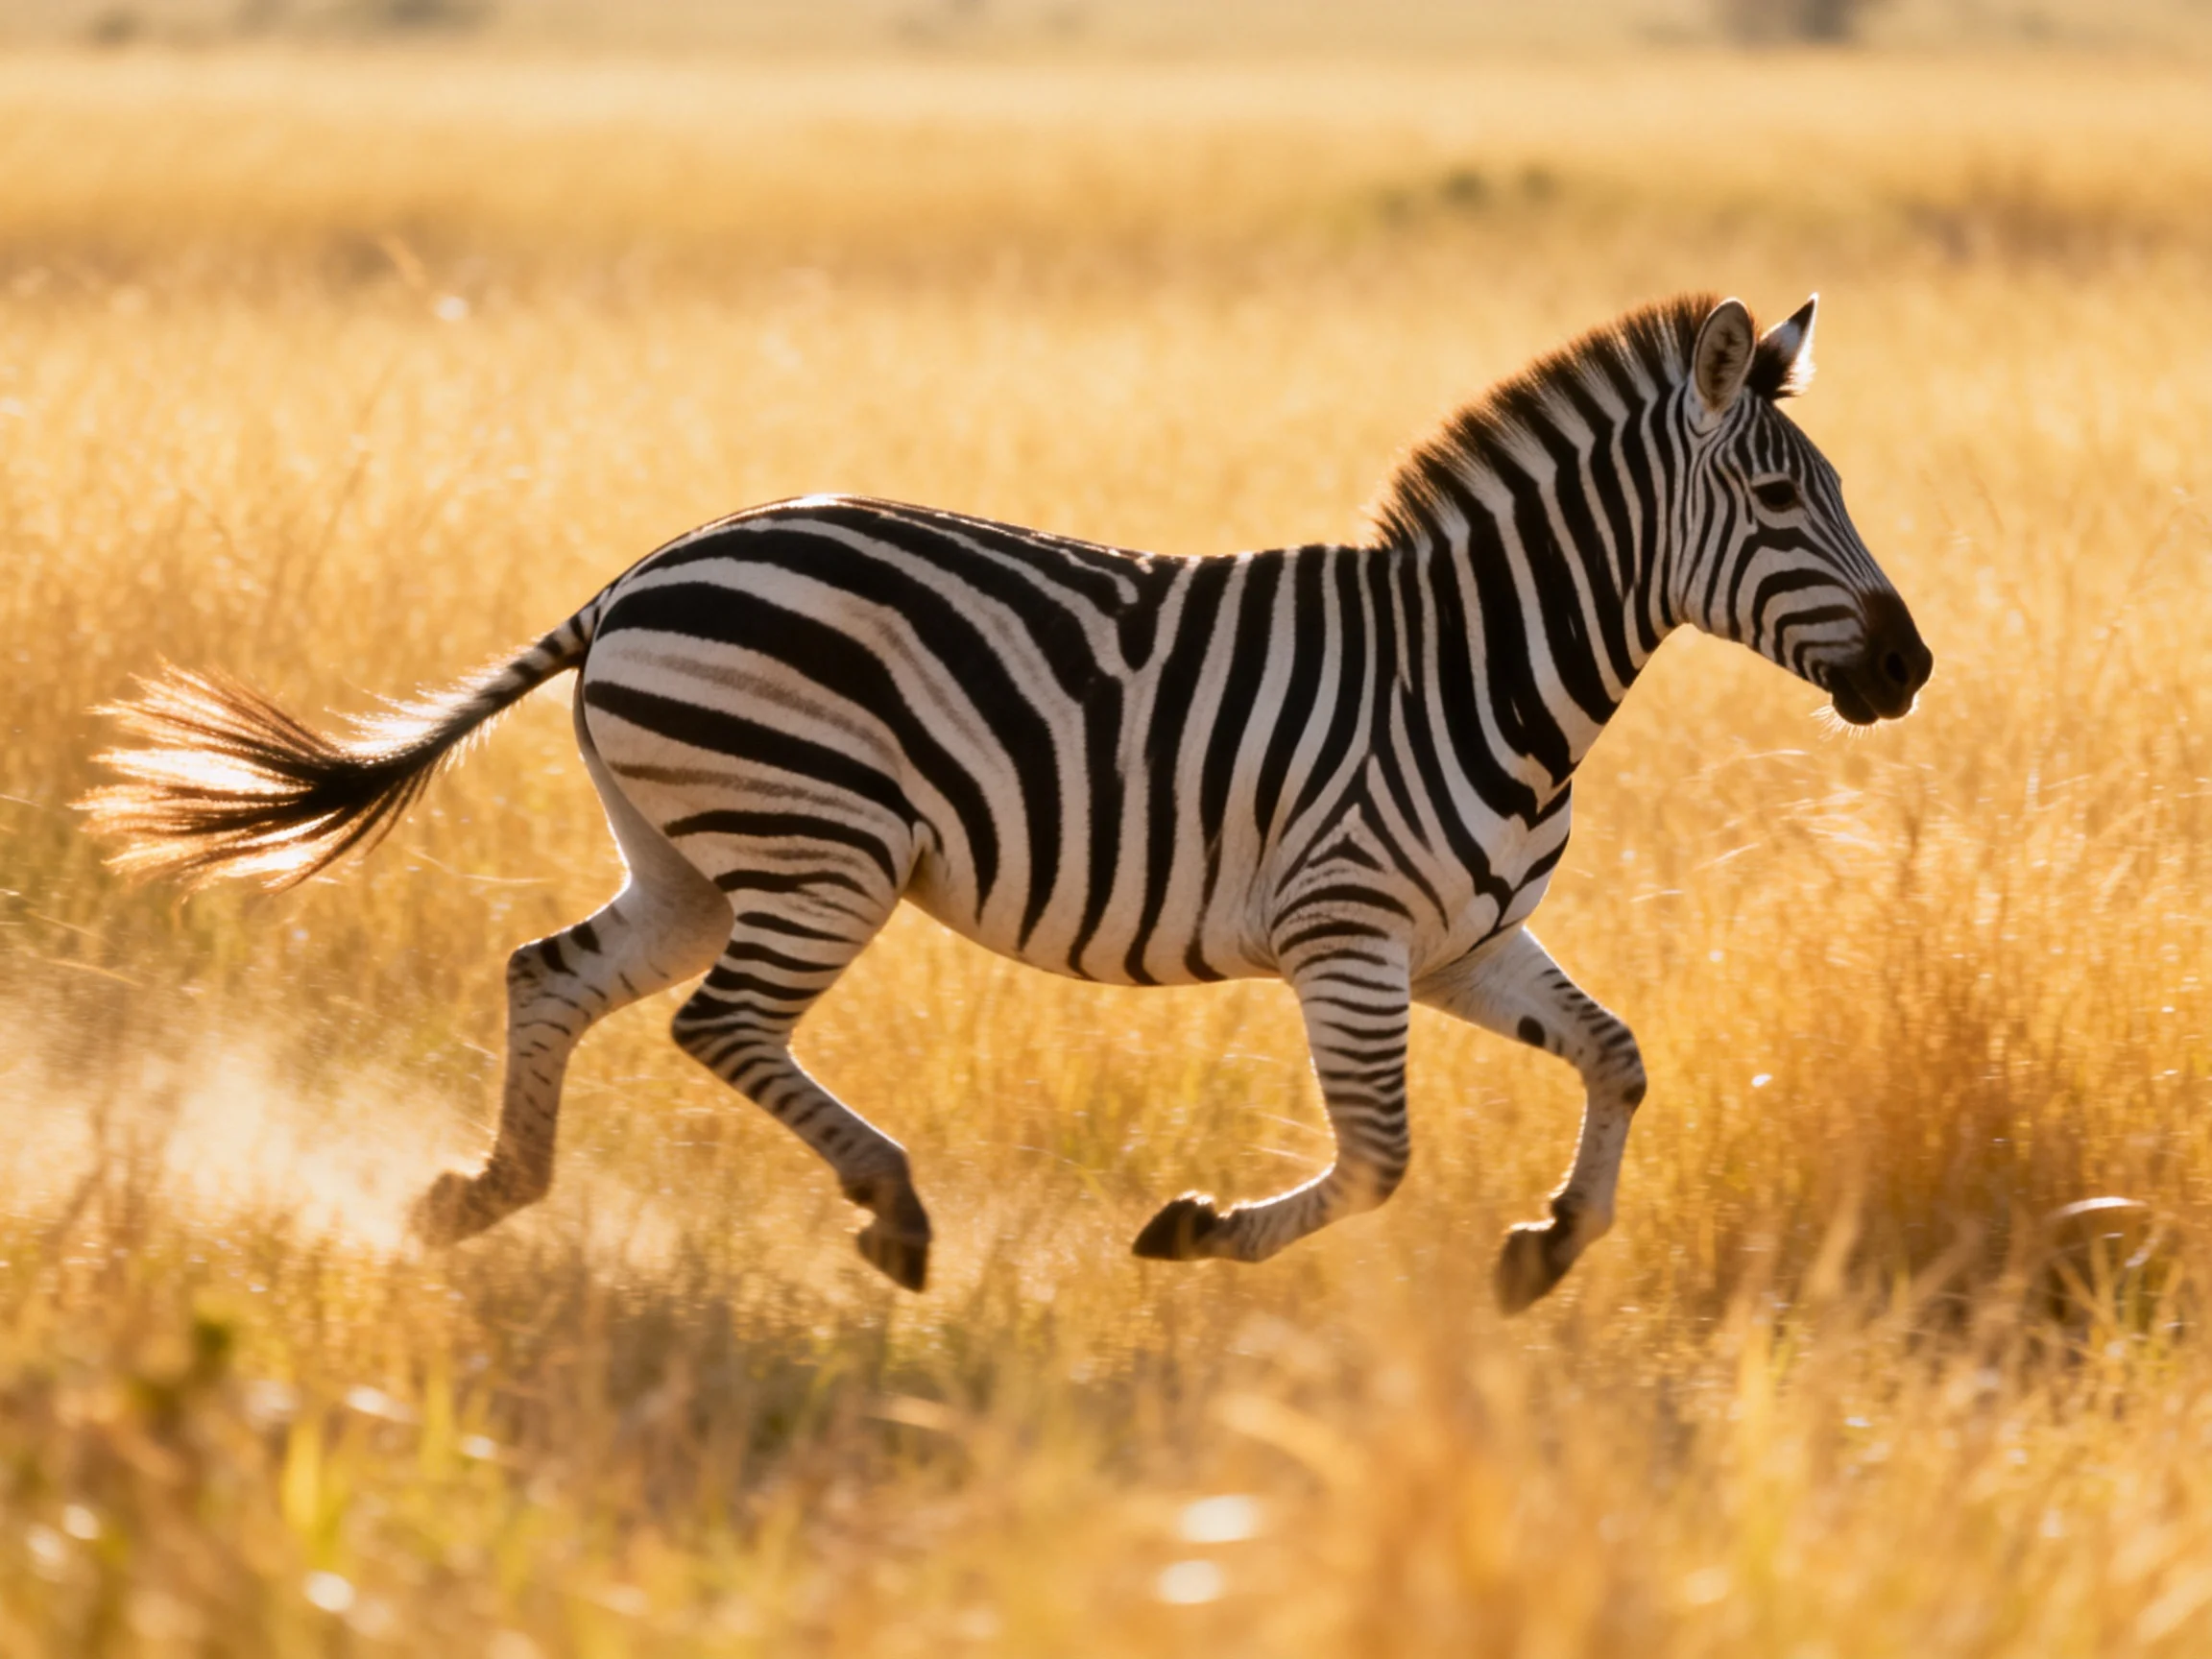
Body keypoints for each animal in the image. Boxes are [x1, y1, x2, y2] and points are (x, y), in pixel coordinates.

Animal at [83, 292, 1930, 1312]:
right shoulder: (1347, 937)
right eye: (1781, 502)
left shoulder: (1464, 945)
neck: (1474, 672)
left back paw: (486, 1193)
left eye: (1837, 490)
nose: (1911, 670)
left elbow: (1618, 1058)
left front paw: (1549, 1247)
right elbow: (1381, 1157)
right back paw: (889, 1207)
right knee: (714, 1027)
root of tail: (635, 576)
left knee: (554, 976)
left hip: (687, 853)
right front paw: (1200, 1229)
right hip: (818, 848)